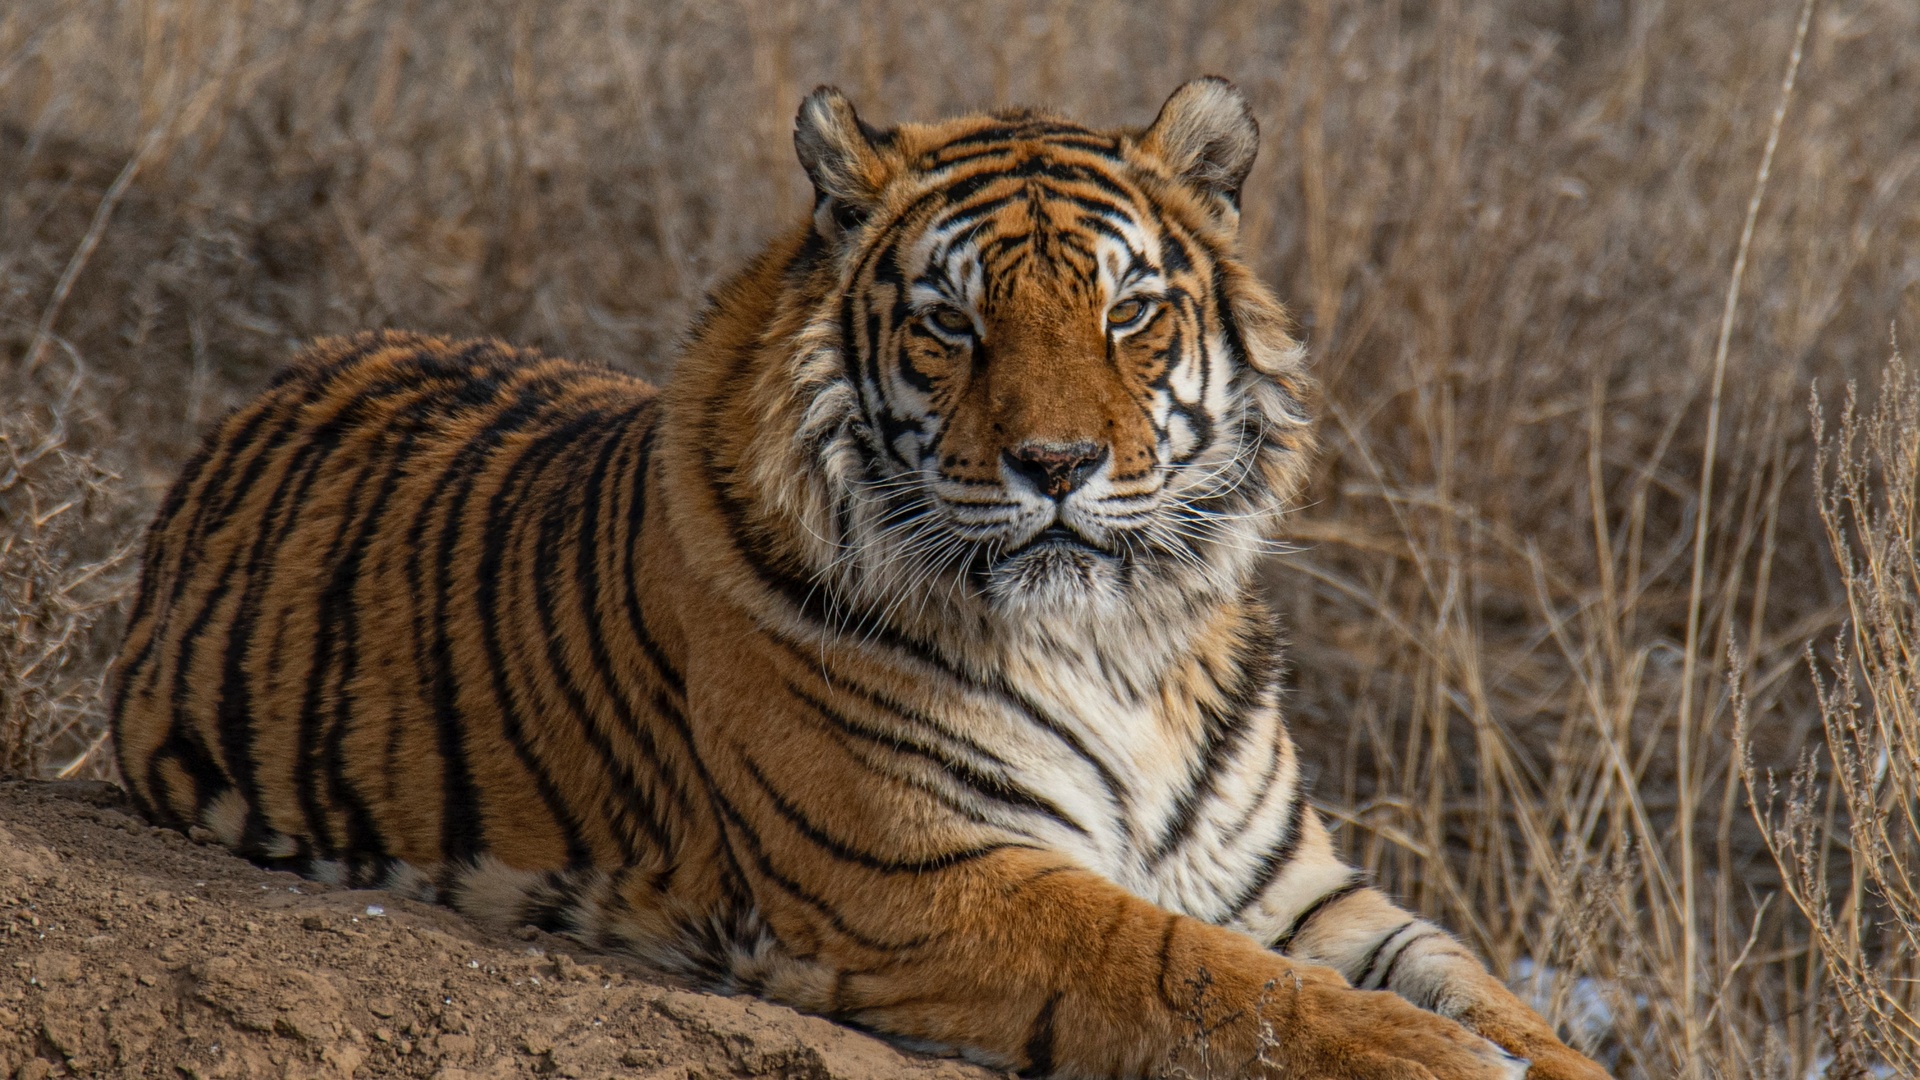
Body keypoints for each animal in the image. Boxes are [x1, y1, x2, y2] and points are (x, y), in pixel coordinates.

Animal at [110, 79, 1609, 1079]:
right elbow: (1200, 976)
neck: (1116, 643)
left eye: (1129, 312)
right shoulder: (928, 878)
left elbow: (1473, 978)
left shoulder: (1293, 887)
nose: (1057, 464)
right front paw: (1430, 1058)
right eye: (952, 323)